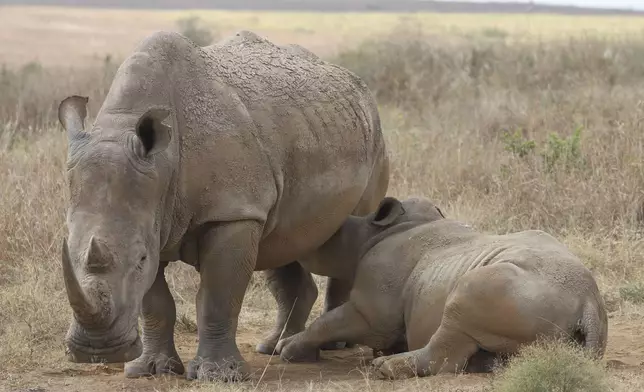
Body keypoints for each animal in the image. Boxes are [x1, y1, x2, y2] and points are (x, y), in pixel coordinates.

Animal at [57, 31, 388, 382]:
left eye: (139, 259)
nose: (97, 350)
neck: (162, 164)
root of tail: (358, 85)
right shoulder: (153, 218)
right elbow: (154, 302)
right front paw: (151, 370)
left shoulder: (232, 212)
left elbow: (218, 296)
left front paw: (220, 375)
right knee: (282, 241)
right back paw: (273, 347)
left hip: (373, 138)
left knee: (348, 233)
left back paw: (331, 346)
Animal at [274, 198, 608, 378]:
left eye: (325, 237)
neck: (367, 235)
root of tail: (588, 302)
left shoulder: (373, 312)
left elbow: (331, 322)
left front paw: (287, 350)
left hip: (518, 290)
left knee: (461, 308)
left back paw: (385, 368)